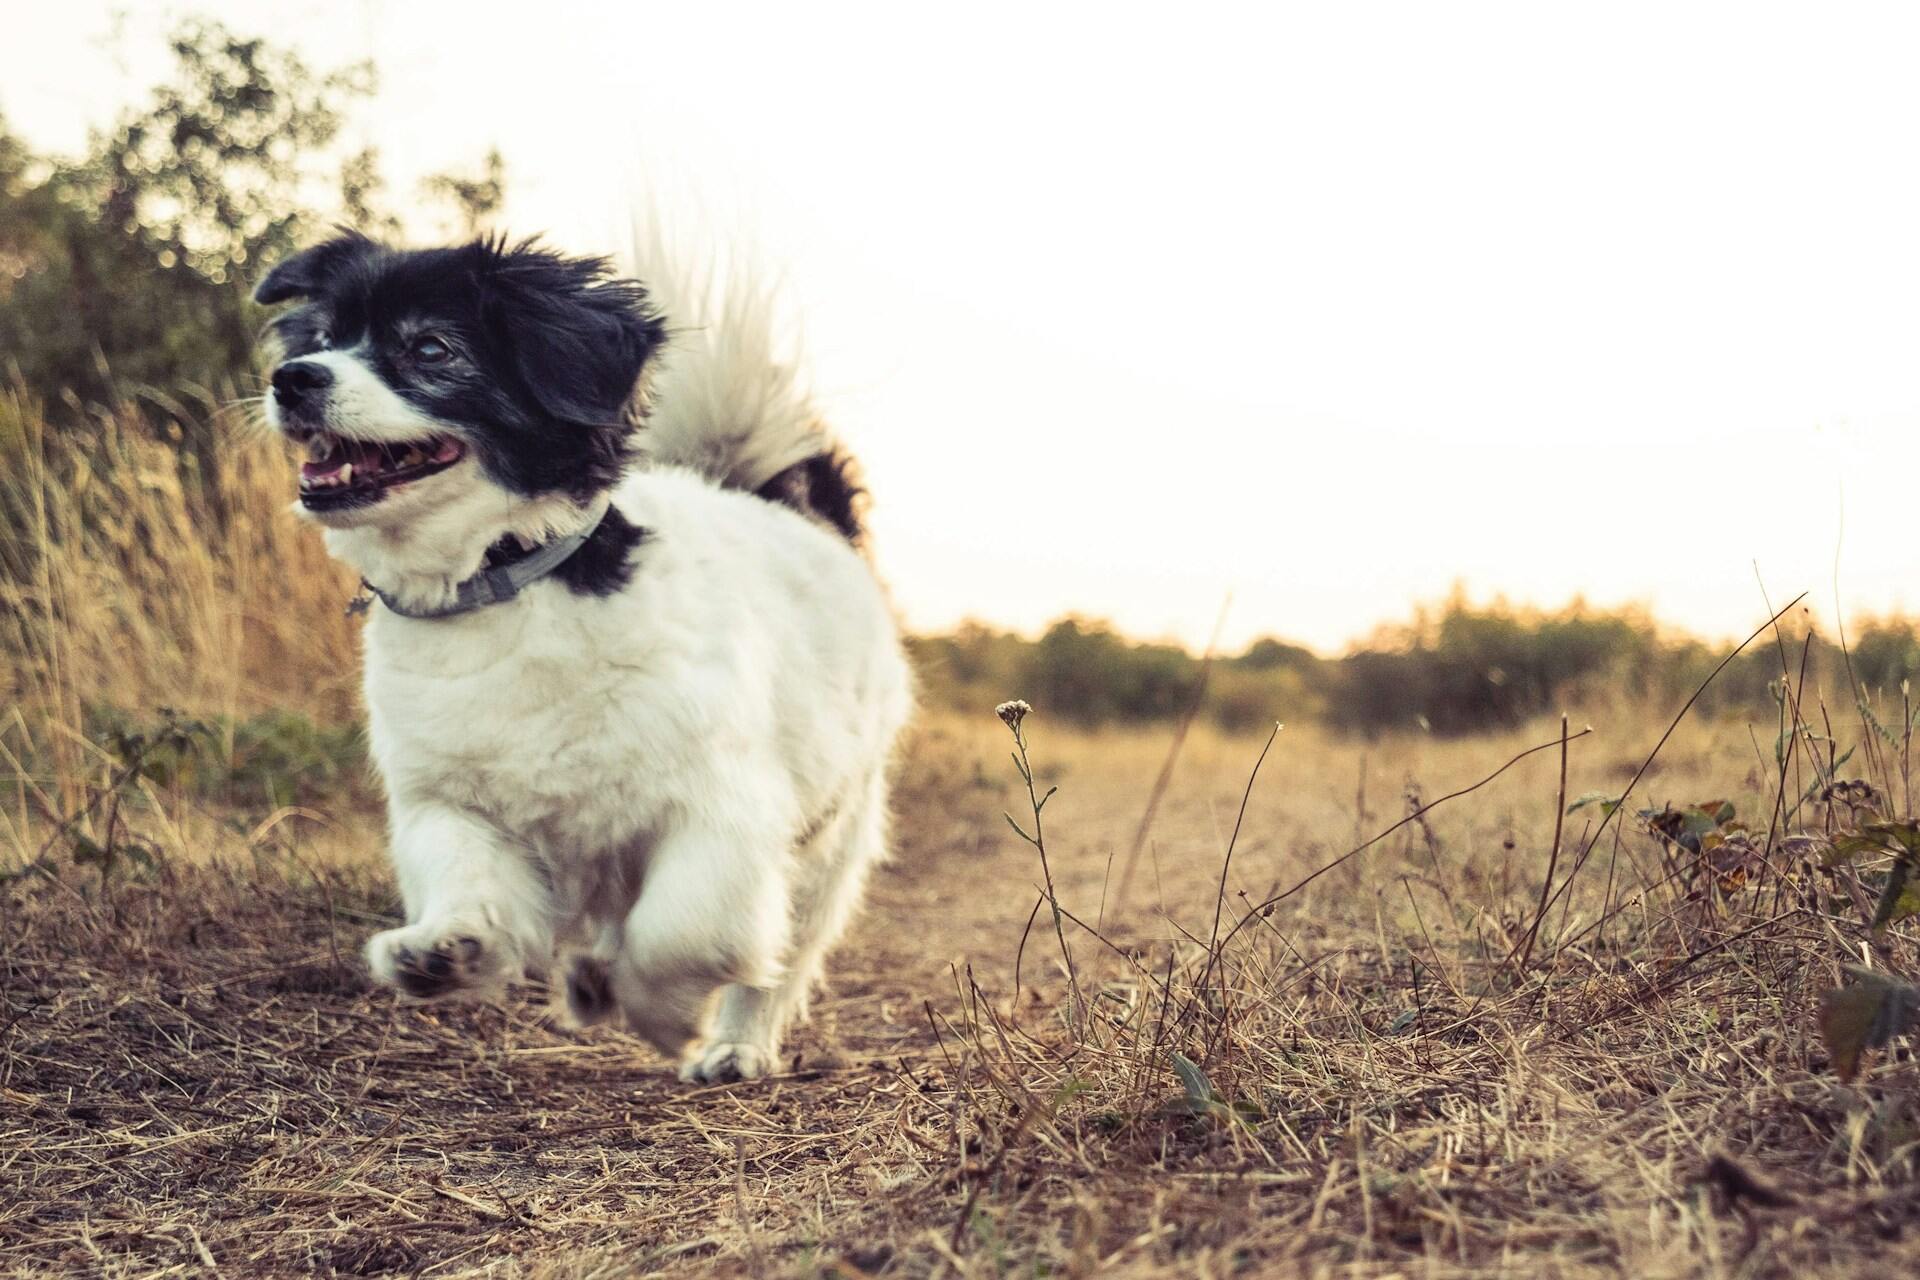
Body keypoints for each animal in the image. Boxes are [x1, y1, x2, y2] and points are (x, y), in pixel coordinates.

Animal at [257, 233, 913, 1082]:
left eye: (431, 348)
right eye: (323, 339)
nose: (293, 378)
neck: (502, 580)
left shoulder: (722, 815)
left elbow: (682, 934)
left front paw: (666, 1017)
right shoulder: (449, 804)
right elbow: (468, 880)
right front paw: (450, 950)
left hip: (830, 840)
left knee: (781, 957)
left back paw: (733, 1045)